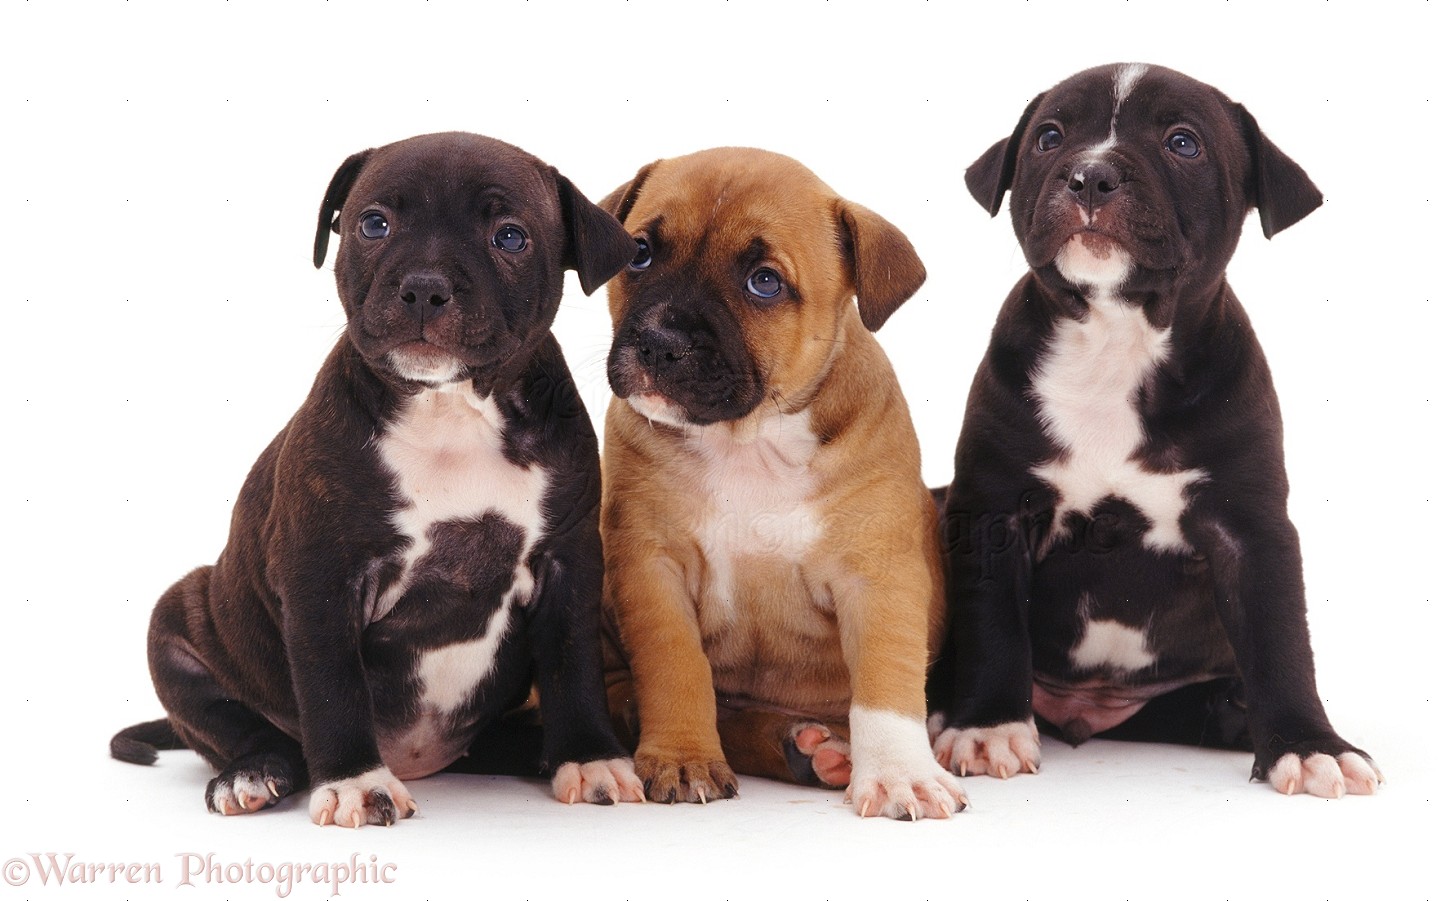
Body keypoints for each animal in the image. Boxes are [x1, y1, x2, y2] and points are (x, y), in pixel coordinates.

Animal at [116, 130, 651, 825]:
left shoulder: (569, 564)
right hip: (180, 618)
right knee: (238, 726)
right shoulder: (323, 577)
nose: (424, 287)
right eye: (374, 224)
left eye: (510, 237)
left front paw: (589, 758)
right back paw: (254, 772)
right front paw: (354, 782)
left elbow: (574, 665)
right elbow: (332, 686)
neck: (450, 411)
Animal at [596, 149, 971, 825]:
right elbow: (674, 666)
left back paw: (818, 749)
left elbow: (887, 679)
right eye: (639, 253)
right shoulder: (651, 566)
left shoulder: (879, 575)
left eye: (764, 283)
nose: (659, 342)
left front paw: (900, 773)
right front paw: (683, 756)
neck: (748, 442)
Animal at [930, 65, 1384, 796]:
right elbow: (992, 623)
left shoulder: (1250, 527)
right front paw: (988, 726)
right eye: (1049, 136)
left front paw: (1310, 744)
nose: (1089, 175)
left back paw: (1237, 714)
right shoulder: (993, 509)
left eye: (1183, 143)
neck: (1115, 340)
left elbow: (1281, 638)